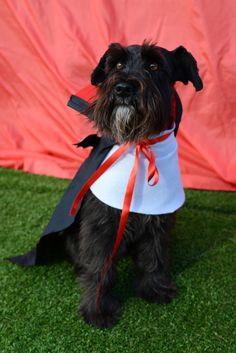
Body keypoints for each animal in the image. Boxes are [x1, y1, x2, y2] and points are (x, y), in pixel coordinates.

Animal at [65, 41, 202, 328]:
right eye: (117, 64)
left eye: (154, 66)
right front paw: (97, 310)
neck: (139, 143)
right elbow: (99, 268)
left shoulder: (159, 220)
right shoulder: (100, 225)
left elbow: (154, 256)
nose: (123, 88)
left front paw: (155, 289)